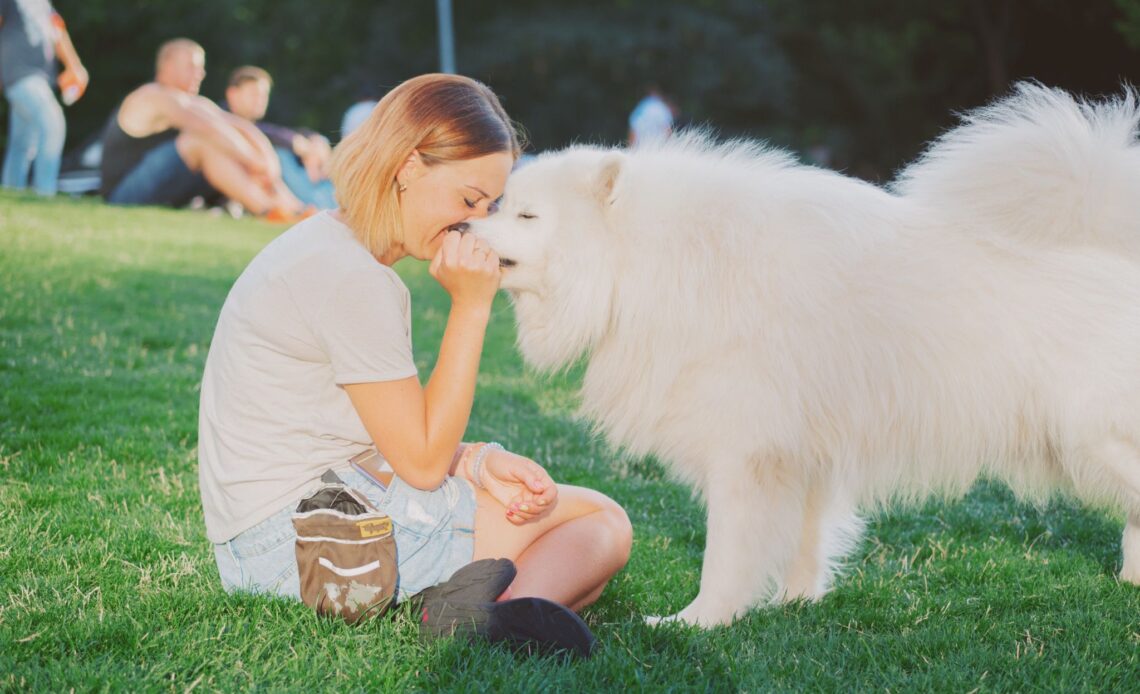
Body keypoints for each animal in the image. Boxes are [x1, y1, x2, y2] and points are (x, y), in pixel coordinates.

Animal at [474, 83, 1140, 624]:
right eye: (499, 205)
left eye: (527, 215)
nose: (464, 229)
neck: (650, 260)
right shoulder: (801, 452)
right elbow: (803, 542)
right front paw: (794, 604)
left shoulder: (745, 451)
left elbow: (727, 555)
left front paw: (697, 624)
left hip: (1095, 437)